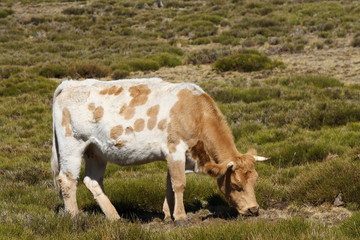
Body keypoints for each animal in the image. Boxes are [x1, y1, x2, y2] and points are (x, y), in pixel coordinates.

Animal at [52, 78, 268, 224]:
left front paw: (166, 214)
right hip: (72, 146)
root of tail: (70, 83)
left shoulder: (178, 156)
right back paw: (75, 217)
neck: (194, 112)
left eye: (255, 181)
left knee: (92, 180)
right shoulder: (175, 149)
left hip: (96, 151)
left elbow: (169, 184)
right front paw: (180, 217)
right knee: (67, 180)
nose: (253, 209)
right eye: (236, 185)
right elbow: (179, 184)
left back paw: (115, 217)